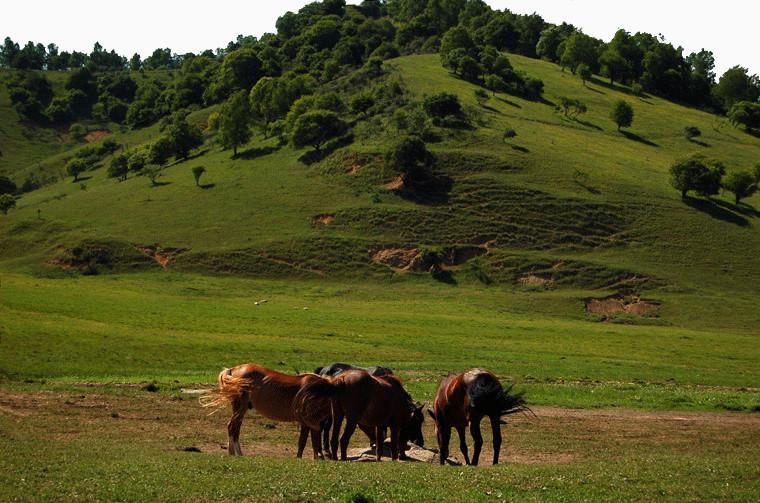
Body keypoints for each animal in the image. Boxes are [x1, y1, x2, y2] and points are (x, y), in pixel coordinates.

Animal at [292, 368, 422, 462]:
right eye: (416, 424)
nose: (420, 442)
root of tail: (341, 379)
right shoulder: (395, 425)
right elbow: (394, 445)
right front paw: (394, 459)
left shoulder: (379, 426)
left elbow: (379, 446)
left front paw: (378, 460)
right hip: (351, 420)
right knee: (343, 440)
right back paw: (343, 459)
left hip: (338, 417)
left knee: (334, 440)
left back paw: (335, 458)